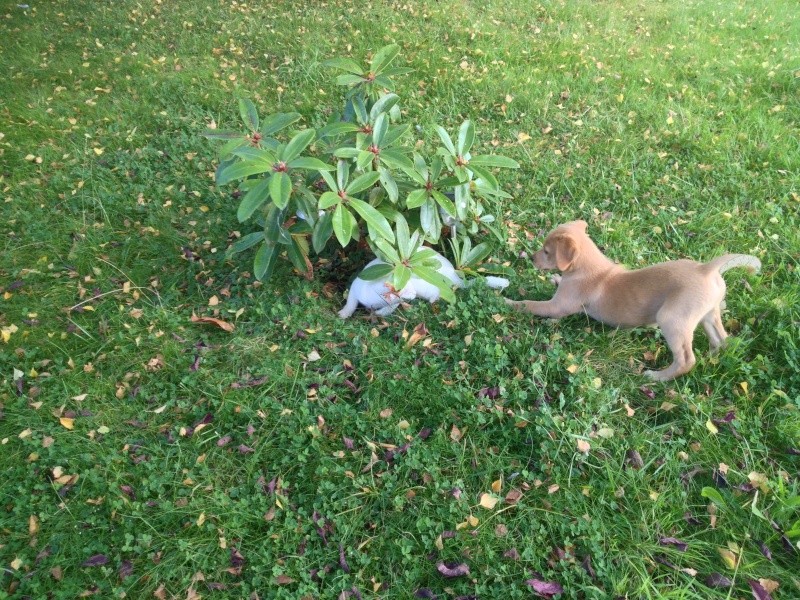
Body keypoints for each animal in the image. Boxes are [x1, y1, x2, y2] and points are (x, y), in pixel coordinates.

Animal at [506, 219, 764, 380]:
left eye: (546, 251)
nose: (531, 258)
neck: (585, 266)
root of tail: (705, 269)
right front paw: (555, 279)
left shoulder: (557, 306)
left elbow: (530, 304)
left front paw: (506, 302)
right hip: (708, 315)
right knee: (721, 340)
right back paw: (711, 360)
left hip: (671, 318)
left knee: (685, 359)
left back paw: (657, 377)